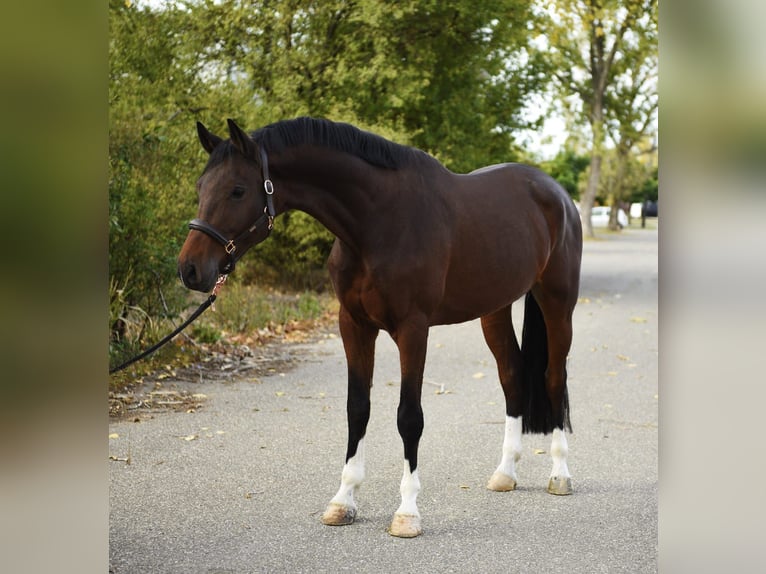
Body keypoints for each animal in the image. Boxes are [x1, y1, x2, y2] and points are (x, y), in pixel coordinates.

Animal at [178, 117, 582, 538]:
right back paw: (505, 473)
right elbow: (357, 408)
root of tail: (555, 192)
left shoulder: (413, 328)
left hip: (558, 303)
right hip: (495, 309)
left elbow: (409, 417)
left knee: (554, 377)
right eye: (201, 187)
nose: (190, 269)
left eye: (237, 190)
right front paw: (343, 501)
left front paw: (407, 512)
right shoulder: (353, 325)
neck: (378, 222)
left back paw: (560, 474)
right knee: (512, 376)